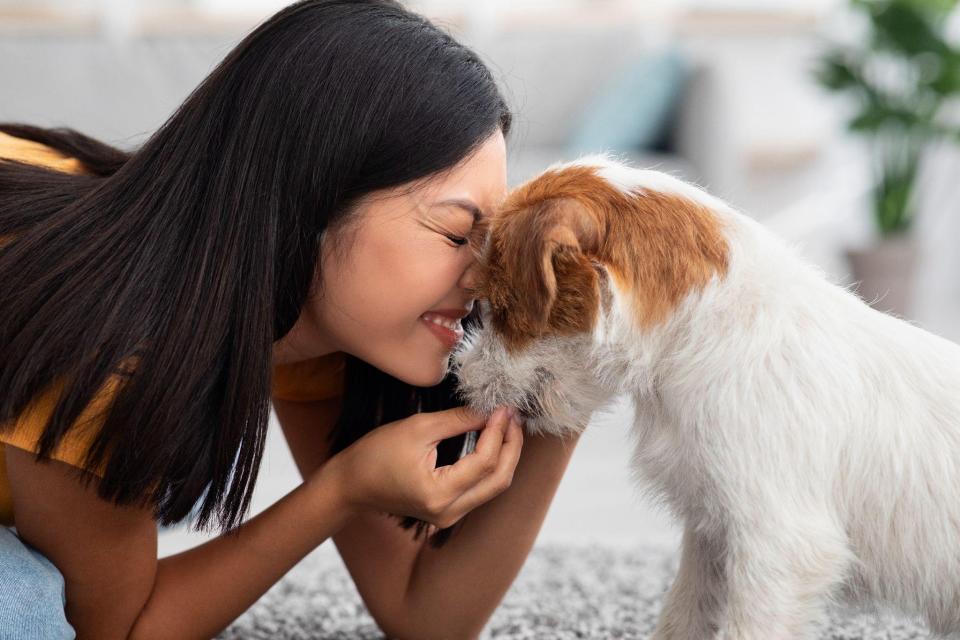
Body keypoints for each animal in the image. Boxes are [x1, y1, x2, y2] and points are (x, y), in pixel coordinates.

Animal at [454, 155, 960, 640]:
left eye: (500, 307)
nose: (460, 381)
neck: (702, 332)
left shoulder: (779, 546)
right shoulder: (710, 536)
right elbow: (682, 616)